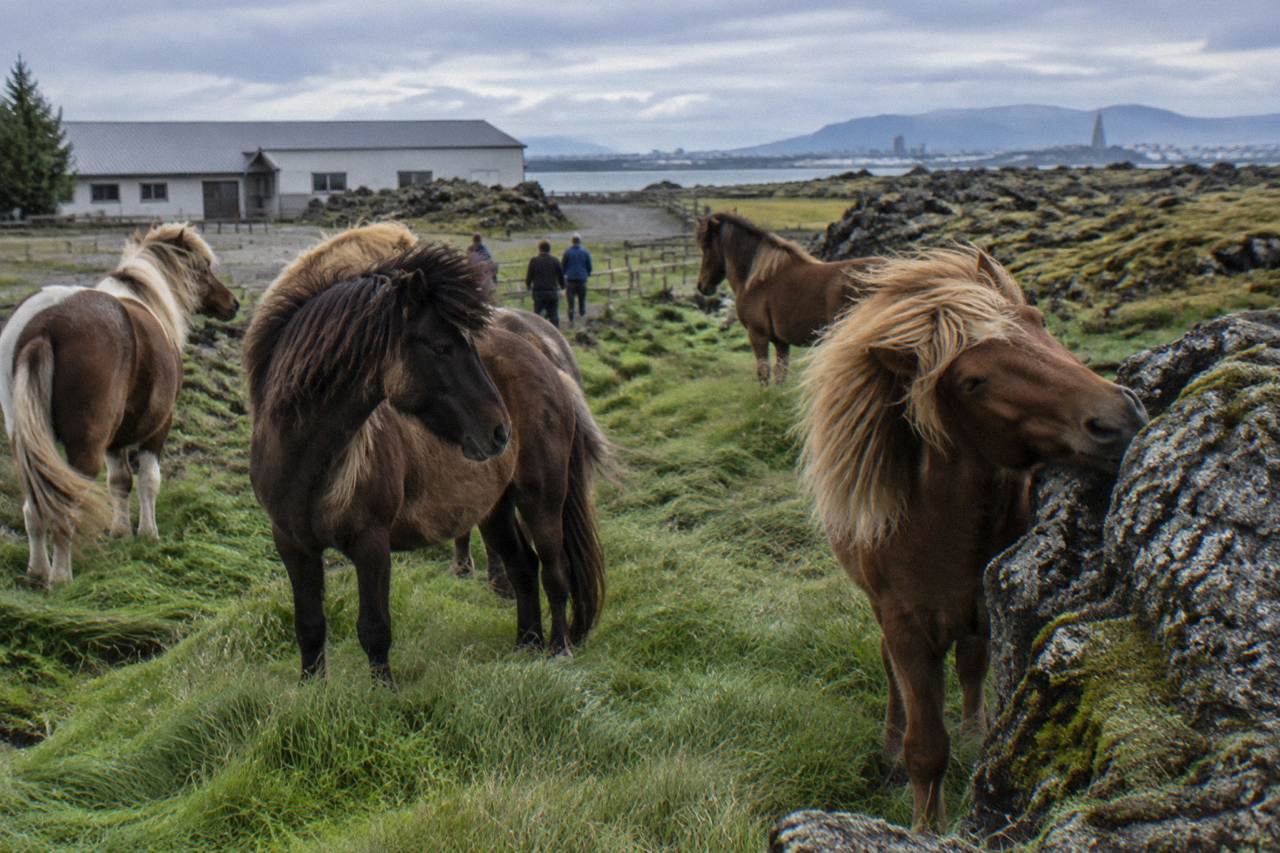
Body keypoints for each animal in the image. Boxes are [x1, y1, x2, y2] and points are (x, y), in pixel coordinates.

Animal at [0, 223, 238, 588]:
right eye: (202, 269)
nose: (233, 304)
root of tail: (46, 324)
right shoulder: (159, 427)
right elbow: (148, 480)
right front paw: (148, 533)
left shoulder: (115, 440)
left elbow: (120, 482)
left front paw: (121, 531)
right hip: (85, 446)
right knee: (66, 505)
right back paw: (61, 576)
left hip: (25, 442)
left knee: (35, 507)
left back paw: (38, 571)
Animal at [245, 228, 609, 682]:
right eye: (440, 346)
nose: (500, 431)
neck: (306, 466)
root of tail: (546, 362)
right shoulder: (293, 545)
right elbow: (309, 627)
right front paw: (312, 688)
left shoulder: (371, 542)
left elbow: (374, 628)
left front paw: (383, 691)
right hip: (495, 508)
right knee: (523, 568)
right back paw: (527, 646)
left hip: (541, 497)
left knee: (554, 572)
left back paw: (558, 651)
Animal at [695, 212, 876, 386]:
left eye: (706, 246)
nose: (702, 286)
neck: (756, 278)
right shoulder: (781, 342)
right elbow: (780, 375)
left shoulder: (757, 335)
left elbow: (764, 374)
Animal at [799, 248, 1148, 831]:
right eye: (972, 383)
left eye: (1036, 320)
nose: (1118, 418)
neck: (939, 534)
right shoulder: (908, 630)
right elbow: (925, 748)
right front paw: (925, 825)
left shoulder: (985, 608)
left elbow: (973, 673)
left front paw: (975, 735)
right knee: (888, 665)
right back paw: (889, 741)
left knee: (967, 665)